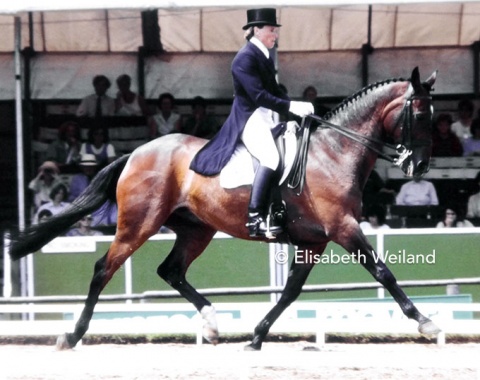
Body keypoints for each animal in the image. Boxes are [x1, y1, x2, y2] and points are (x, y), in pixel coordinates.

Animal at [10, 67, 438, 350]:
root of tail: (137, 152)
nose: (419, 167)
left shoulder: (313, 241)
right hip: (139, 223)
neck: (334, 152)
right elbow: (383, 272)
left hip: (197, 229)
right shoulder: (343, 227)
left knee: (171, 270)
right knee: (104, 268)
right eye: (419, 115)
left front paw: (257, 336)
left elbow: (290, 291)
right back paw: (72, 335)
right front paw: (425, 322)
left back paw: (213, 325)